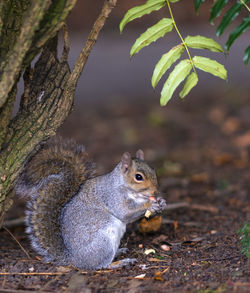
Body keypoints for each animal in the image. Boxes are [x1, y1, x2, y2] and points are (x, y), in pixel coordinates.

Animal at [16, 137, 168, 270]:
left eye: (153, 170)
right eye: (138, 177)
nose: (155, 191)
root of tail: (74, 259)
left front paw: (161, 202)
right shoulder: (112, 196)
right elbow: (125, 212)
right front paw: (150, 205)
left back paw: (119, 252)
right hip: (103, 242)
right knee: (100, 265)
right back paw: (119, 263)